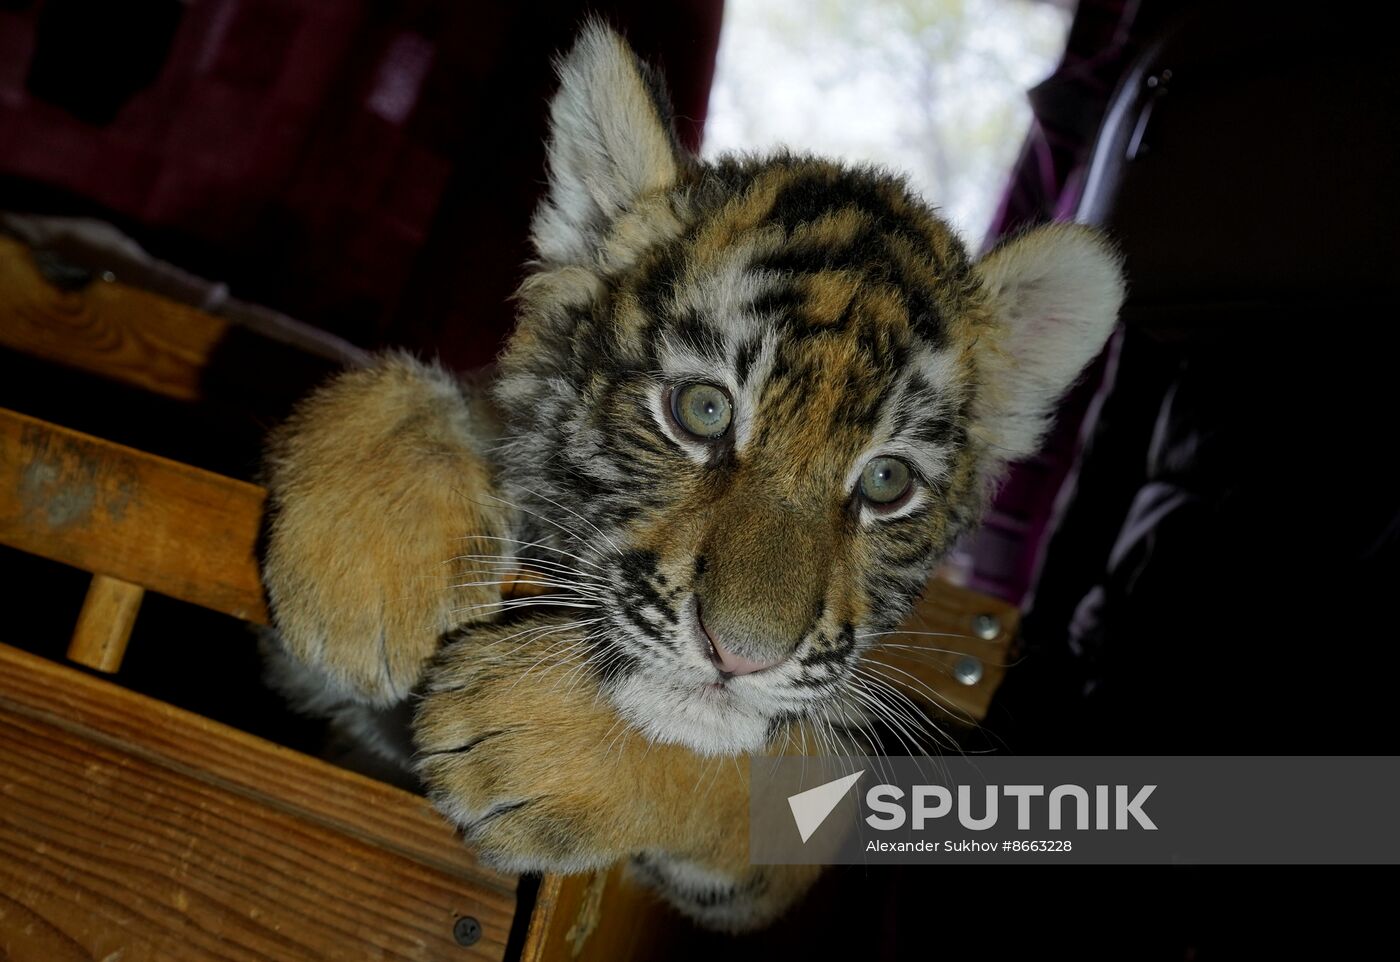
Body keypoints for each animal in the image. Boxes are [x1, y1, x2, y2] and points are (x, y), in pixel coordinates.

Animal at [259, 22, 1124, 931]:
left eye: (887, 483)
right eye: (703, 410)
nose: (740, 656)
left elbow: (760, 771)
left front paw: (529, 744)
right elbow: (419, 390)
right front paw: (367, 584)